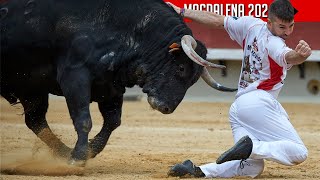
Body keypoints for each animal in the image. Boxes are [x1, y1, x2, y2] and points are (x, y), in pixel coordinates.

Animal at [0, 0, 235, 166]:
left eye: (194, 80)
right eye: (181, 68)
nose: (166, 108)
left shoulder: (111, 85)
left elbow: (113, 121)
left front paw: (88, 150)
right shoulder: (74, 76)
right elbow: (84, 119)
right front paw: (79, 157)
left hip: (31, 87)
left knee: (35, 120)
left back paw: (64, 152)